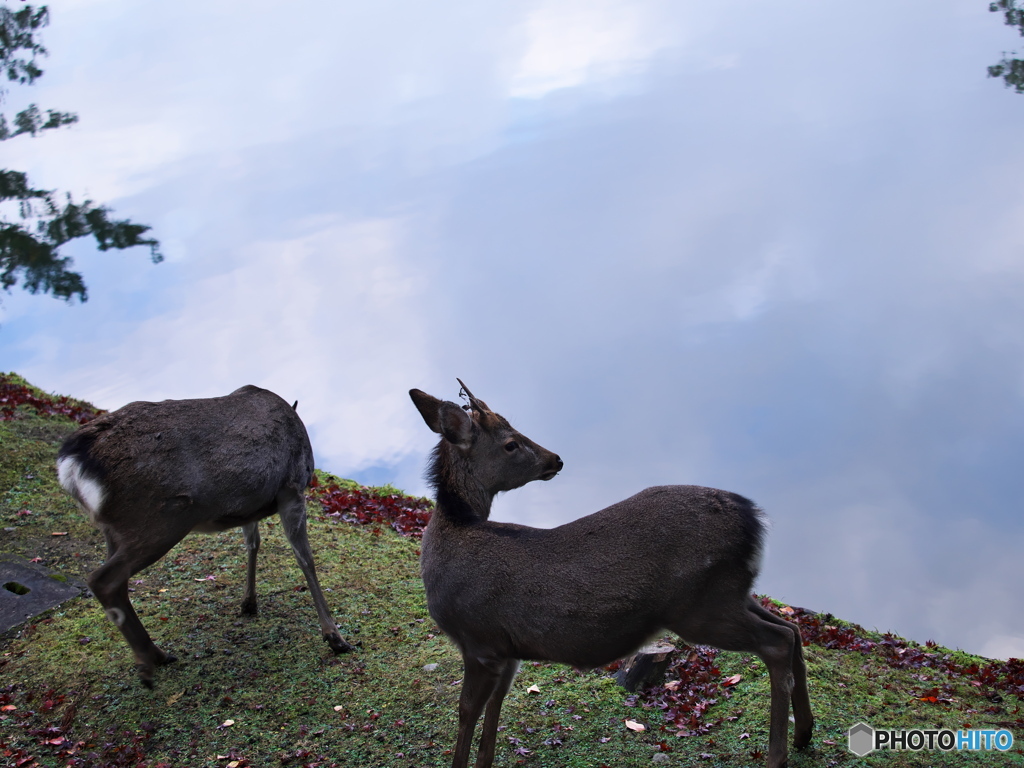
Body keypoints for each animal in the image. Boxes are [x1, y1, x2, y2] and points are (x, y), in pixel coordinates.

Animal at [59, 387, 358, 688]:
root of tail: (71, 464)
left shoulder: (247, 508)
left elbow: (253, 543)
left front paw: (249, 604)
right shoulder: (292, 487)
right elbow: (305, 558)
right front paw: (335, 637)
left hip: (115, 529)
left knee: (117, 583)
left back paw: (157, 654)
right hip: (161, 520)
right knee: (103, 579)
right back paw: (148, 662)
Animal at [407, 382, 815, 768]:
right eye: (511, 443)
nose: (555, 459)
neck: (453, 534)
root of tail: (755, 520)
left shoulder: (479, 640)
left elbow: (466, 711)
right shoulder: (504, 649)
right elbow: (493, 709)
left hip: (700, 605)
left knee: (778, 640)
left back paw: (778, 755)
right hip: (730, 591)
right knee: (792, 628)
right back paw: (804, 735)